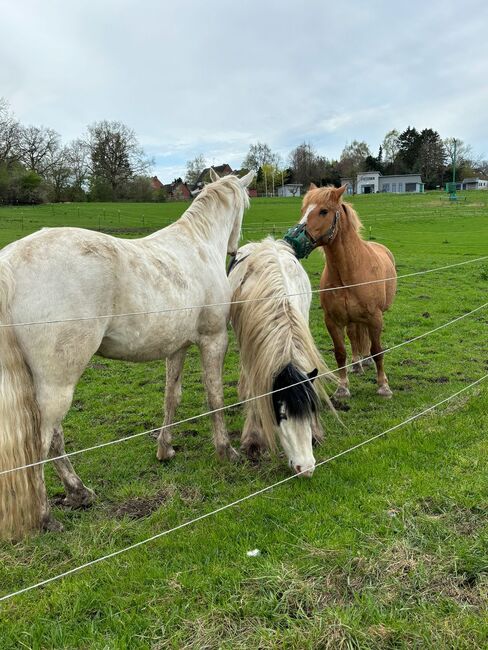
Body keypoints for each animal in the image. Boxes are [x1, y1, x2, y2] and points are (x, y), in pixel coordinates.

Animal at [0, 170, 254, 540]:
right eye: (245, 204)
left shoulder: (177, 348)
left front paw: (165, 449)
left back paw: (79, 492)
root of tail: (9, 265)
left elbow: (171, 397)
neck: (197, 247)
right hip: (57, 383)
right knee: (43, 442)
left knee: (54, 440)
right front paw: (226, 450)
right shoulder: (213, 340)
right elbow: (214, 396)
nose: (236, 249)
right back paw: (48, 516)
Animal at [298, 180, 396, 398]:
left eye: (323, 211)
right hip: (351, 319)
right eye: (303, 209)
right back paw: (357, 364)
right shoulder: (332, 321)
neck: (348, 273)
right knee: (354, 335)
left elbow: (377, 350)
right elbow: (340, 352)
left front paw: (383, 386)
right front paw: (342, 387)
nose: (296, 238)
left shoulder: (375, 318)